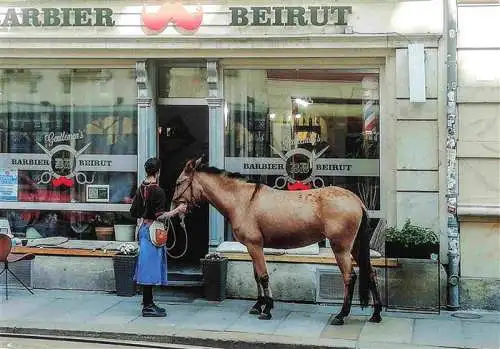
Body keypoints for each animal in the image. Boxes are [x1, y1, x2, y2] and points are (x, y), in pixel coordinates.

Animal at [172, 156, 382, 324]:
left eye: (179, 182)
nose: (174, 207)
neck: (243, 201)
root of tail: (356, 200)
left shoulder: (255, 246)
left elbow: (263, 276)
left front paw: (267, 309)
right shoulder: (252, 247)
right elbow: (257, 276)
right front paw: (258, 305)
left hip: (341, 248)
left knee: (349, 277)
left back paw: (341, 315)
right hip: (355, 247)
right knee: (370, 273)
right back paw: (376, 314)